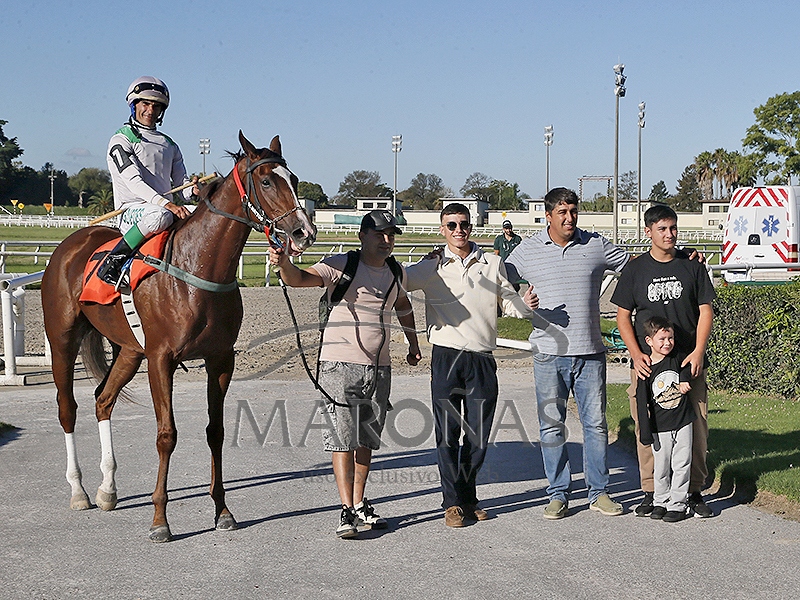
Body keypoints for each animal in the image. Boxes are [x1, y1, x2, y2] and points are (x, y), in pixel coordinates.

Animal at [41, 132, 316, 542]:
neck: (195, 269)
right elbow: (166, 435)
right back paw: (79, 490)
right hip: (62, 337)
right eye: (267, 180)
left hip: (128, 350)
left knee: (103, 400)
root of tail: (70, 244)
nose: (303, 232)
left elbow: (216, 431)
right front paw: (160, 519)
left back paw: (108, 489)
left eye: (295, 179)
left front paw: (222, 511)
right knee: (67, 407)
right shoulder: (160, 359)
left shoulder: (220, 359)